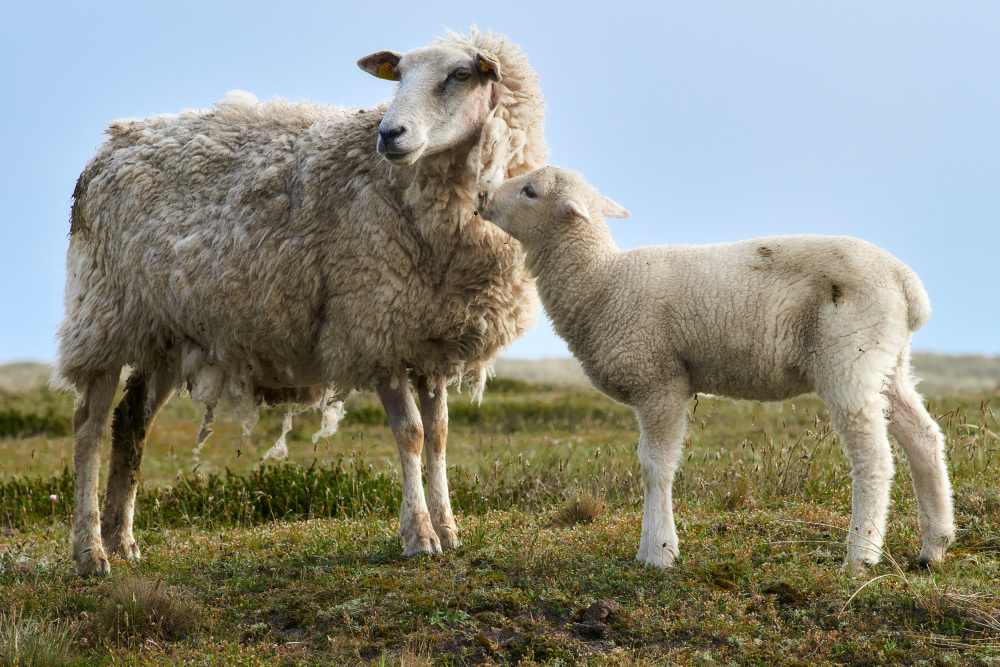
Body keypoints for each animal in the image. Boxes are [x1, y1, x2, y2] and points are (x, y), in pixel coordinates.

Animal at [56, 28, 547, 577]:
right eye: (398, 76)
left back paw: (122, 541)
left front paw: (448, 529)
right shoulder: (370, 326)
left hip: (164, 331)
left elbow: (439, 433)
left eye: (460, 75)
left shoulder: (426, 337)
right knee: (88, 426)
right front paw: (419, 536)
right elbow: (411, 433)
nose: (389, 134)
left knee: (131, 423)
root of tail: (109, 146)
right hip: (102, 313)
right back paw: (90, 552)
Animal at [477, 166, 955, 574]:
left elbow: (655, 466)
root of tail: (908, 286)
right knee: (923, 436)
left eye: (530, 191)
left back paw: (860, 556)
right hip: (886, 360)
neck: (601, 282)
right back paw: (934, 545)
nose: (481, 196)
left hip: (848, 357)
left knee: (873, 457)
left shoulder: (660, 382)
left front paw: (658, 552)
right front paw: (653, 548)